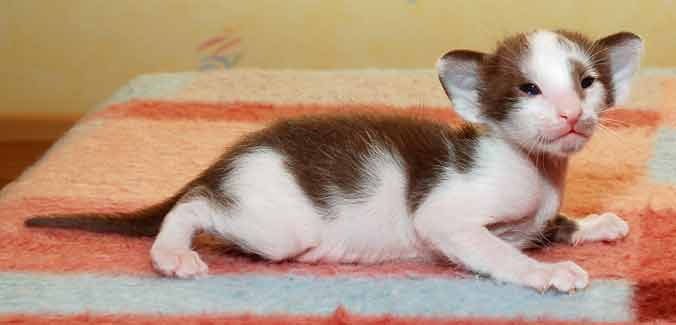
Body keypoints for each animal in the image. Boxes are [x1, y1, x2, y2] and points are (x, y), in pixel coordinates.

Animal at [25, 30, 644, 292]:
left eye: (586, 83)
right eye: (529, 90)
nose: (570, 114)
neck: (537, 169)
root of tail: (227, 159)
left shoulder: (538, 213)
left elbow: (550, 224)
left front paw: (592, 225)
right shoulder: (445, 217)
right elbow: (495, 250)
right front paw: (546, 273)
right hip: (277, 227)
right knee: (194, 205)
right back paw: (173, 252)